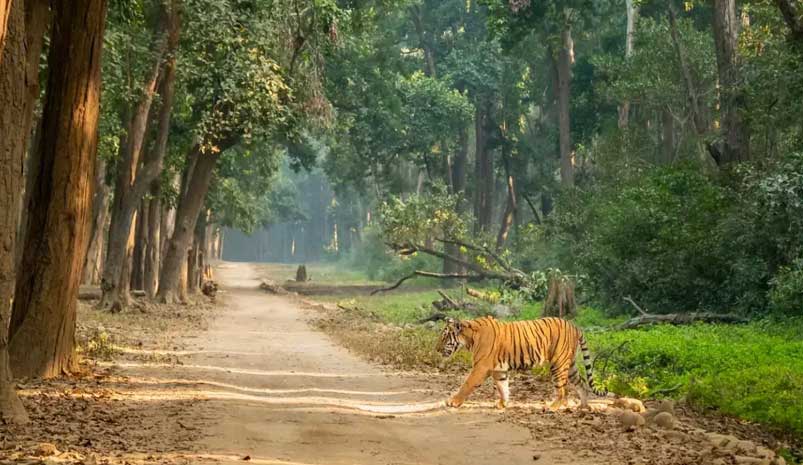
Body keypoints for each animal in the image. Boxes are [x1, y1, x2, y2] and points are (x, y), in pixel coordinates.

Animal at [436, 316, 608, 410]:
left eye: (444, 338)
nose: (436, 349)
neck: (469, 338)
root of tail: (575, 326)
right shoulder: (499, 370)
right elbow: (503, 387)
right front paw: (503, 404)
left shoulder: (480, 367)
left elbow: (467, 384)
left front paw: (453, 401)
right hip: (570, 364)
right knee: (582, 383)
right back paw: (583, 406)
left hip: (558, 363)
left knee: (562, 390)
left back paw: (552, 407)